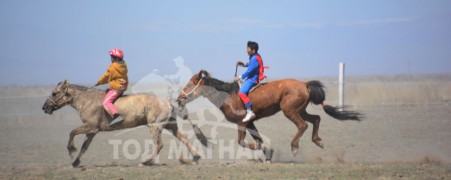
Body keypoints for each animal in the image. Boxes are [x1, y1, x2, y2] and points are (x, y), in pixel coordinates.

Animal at [42, 80, 208, 167]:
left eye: (54, 93)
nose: (44, 107)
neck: (87, 100)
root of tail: (168, 101)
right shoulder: (92, 132)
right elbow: (84, 147)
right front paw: (76, 162)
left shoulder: (90, 127)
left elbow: (72, 133)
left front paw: (71, 151)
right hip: (170, 126)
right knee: (183, 138)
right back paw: (195, 157)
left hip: (155, 126)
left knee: (159, 144)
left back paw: (146, 161)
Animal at [177, 70, 364, 162]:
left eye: (189, 85)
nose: (179, 98)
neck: (227, 95)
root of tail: (304, 84)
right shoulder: (250, 122)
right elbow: (258, 139)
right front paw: (268, 152)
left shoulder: (242, 123)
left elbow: (242, 141)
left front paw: (266, 151)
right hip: (300, 110)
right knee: (316, 119)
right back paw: (318, 141)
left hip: (289, 111)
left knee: (302, 125)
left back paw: (295, 147)